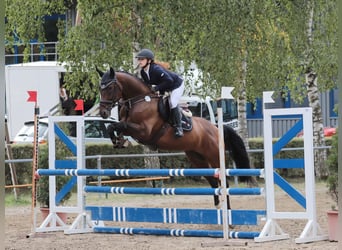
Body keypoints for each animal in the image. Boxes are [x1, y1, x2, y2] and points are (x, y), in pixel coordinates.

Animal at [97, 67, 251, 209]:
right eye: (100, 88)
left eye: (110, 87)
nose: (103, 113)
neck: (138, 100)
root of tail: (216, 128)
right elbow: (114, 126)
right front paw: (119, 142)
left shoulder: (143, 131)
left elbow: (118, 125)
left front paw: (120, 141)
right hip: (197, 158)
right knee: (213, 182)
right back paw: (218, 207)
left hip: (214, 156)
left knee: (223, 181)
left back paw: (227, 211)